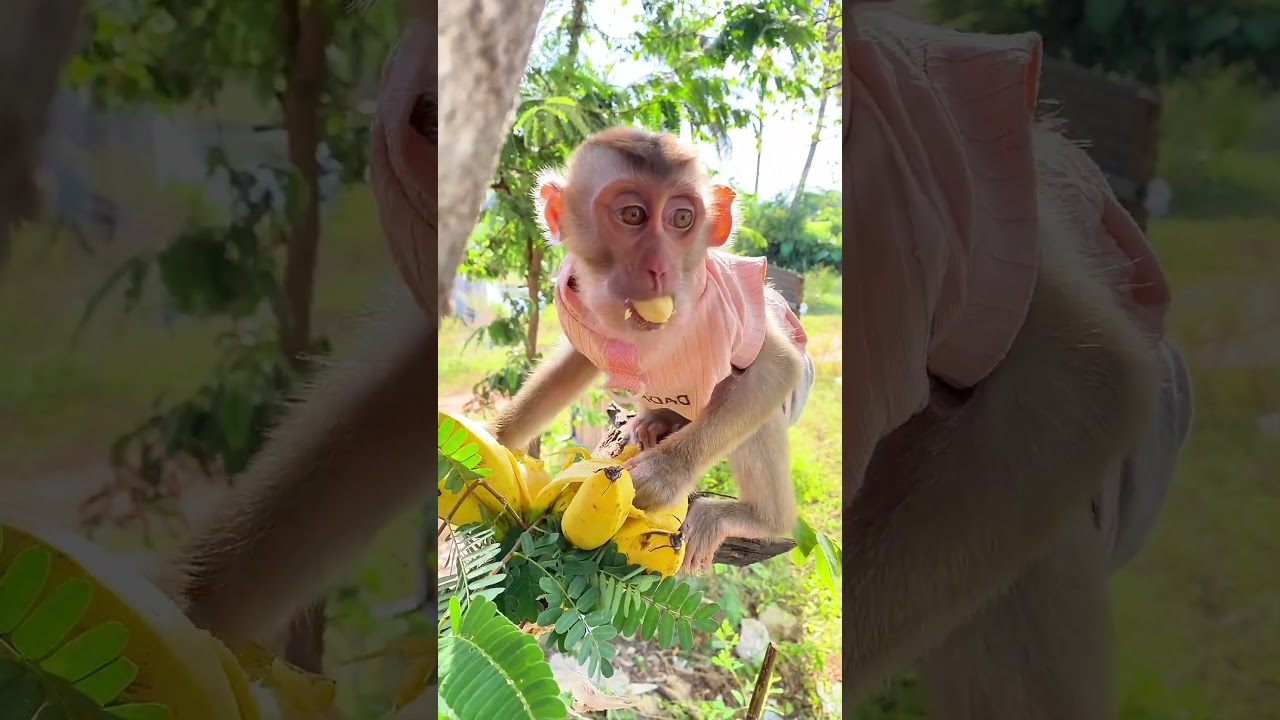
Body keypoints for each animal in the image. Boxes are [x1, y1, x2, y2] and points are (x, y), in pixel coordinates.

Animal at [485, 126, 816, 573]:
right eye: (632, 215)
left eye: (682, 219)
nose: (658, 268)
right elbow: (576, 362)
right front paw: (494, 437)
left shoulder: (726, 304)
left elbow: (775, 367)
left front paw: (663, 476)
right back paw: (660, 419)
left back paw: (762, 519)